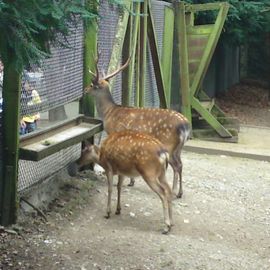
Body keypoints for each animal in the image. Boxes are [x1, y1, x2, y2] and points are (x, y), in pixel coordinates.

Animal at [85, 59, 191, 198]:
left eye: (92, 84)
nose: (85, 89)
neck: (109, 113)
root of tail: (185, 125)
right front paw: (131, 181)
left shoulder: (116, 132)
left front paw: (127, 180)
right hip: (178, 148)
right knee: (181, 164)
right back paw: (180, 192)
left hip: (169, 144)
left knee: (176, 166)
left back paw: (174, 191)